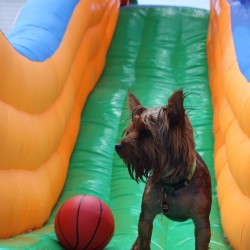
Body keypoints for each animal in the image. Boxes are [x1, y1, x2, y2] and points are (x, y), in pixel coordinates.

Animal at [114, 90, 211, 250]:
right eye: (129, 132)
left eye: (146, 133)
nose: (118, 146)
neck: (172, 184)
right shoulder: (146, 217)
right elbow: (144, 241)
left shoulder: (202, 225)